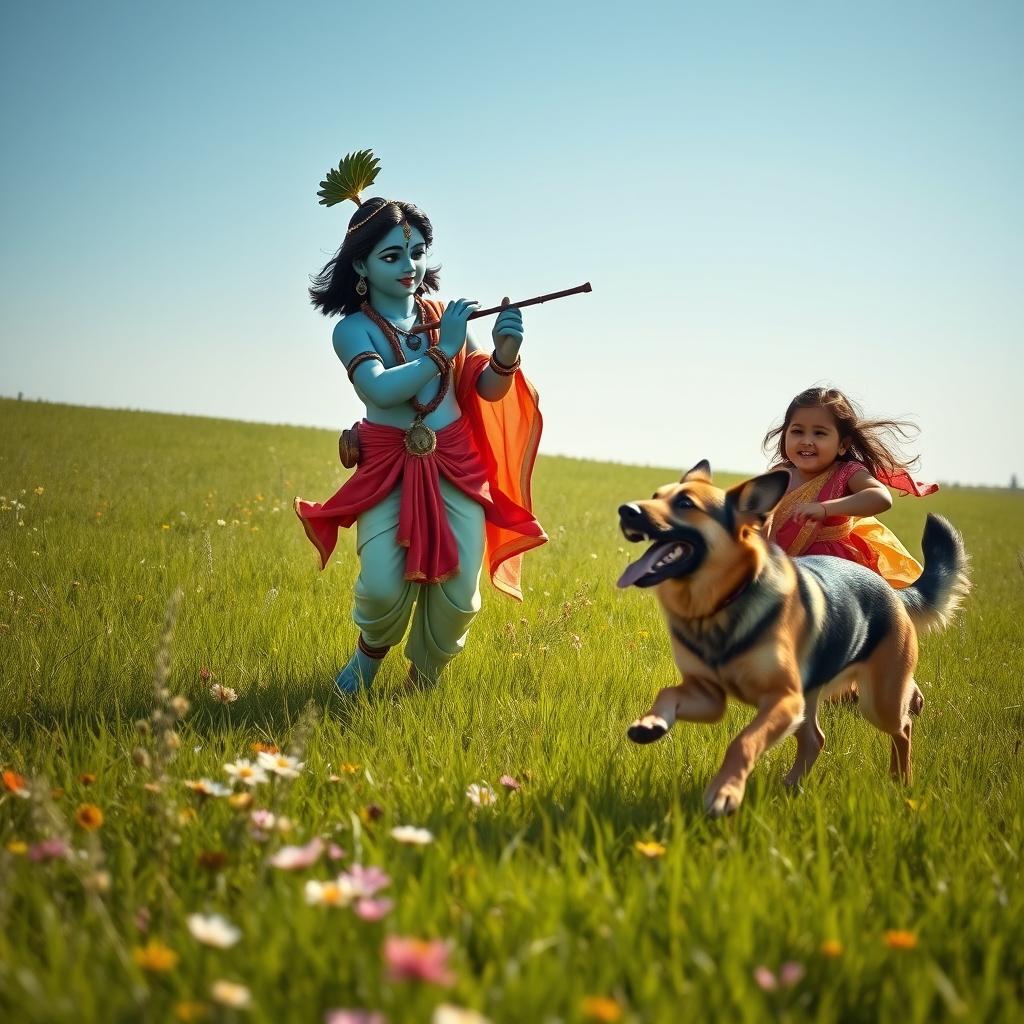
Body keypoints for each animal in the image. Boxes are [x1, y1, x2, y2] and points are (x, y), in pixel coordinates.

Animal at [614, 460, 966, 819]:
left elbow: (743, 742)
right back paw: (790, 786)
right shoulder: (708, 694)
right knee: (816, 740)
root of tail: (894, 592)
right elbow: (667, 692)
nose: (625, 510)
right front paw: (651, 723)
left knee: (903, 727)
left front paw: (725, 792)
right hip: (813, 699)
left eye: (686, 503)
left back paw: (900, 778)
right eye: (655, 496)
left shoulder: (783, 699)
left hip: (877, 701)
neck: (723, 603)